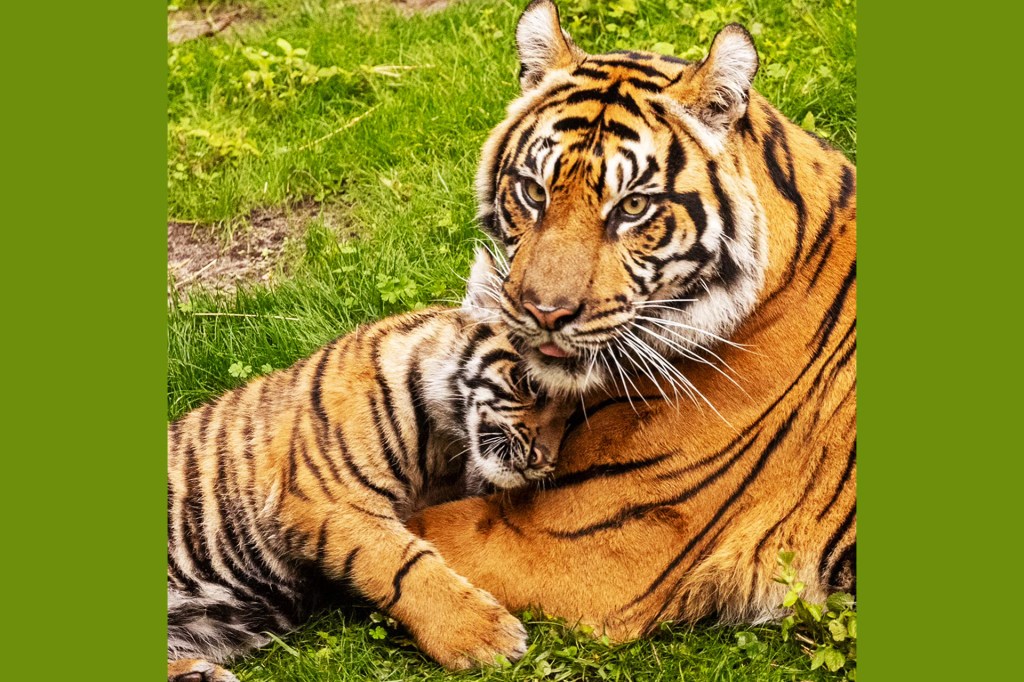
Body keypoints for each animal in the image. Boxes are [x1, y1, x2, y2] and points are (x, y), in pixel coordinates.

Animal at [166, 255, 573, 682]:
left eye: (573, 413)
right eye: (532, 386)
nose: (542, 462)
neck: (444, 444)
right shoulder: (328, 501)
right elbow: (404, 564)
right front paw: (484, 635)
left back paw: (199, 674)